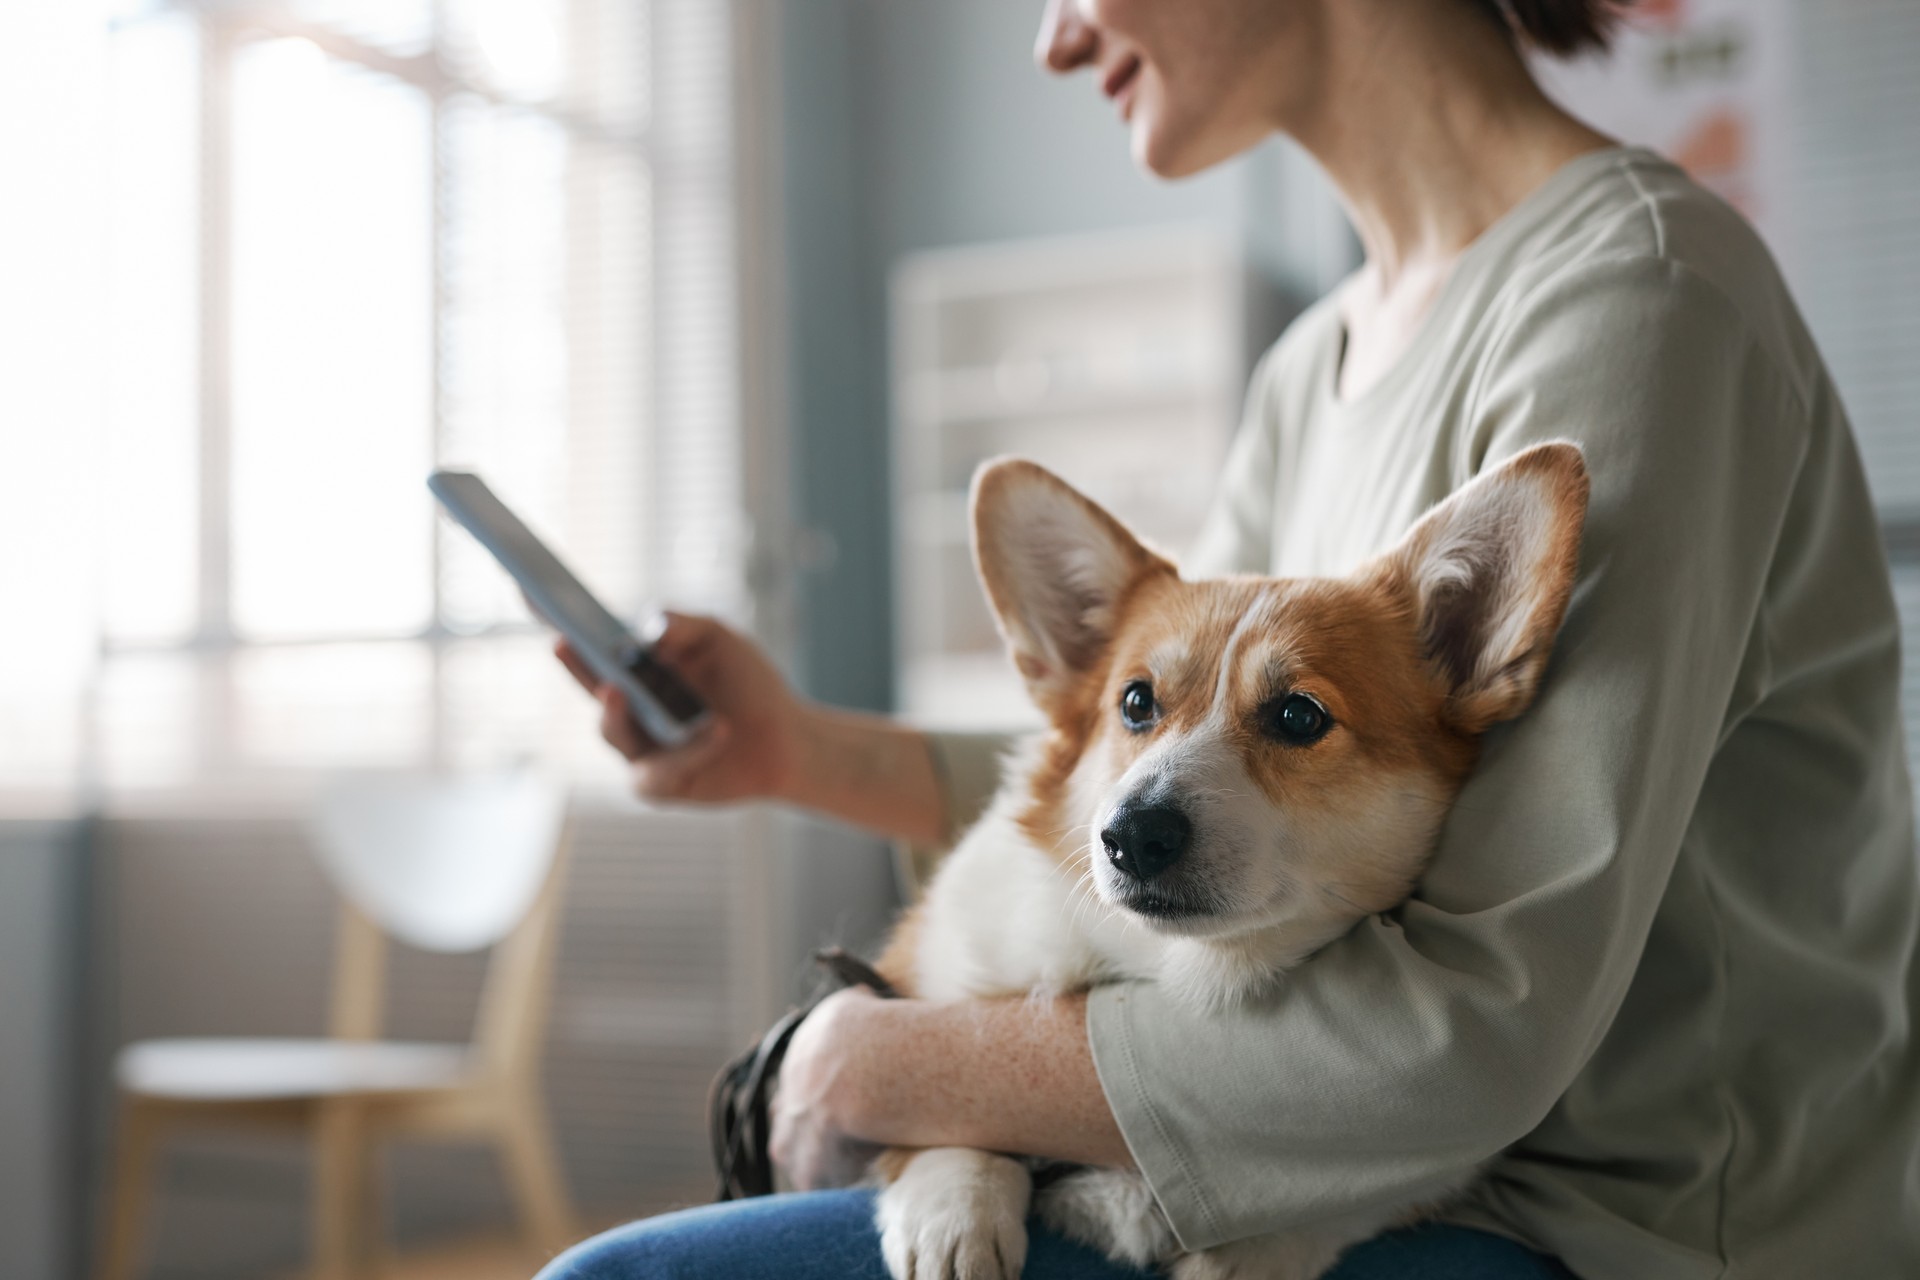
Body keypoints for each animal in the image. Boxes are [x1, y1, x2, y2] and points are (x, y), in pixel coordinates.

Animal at [864, 443, 1582, 1280]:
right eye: (1136, 703)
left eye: (1298, 716)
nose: (1130, 834)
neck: (1171, 969)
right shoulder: (919, 980)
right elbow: (943, 1109)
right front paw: (957, 1209)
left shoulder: (1439, 1169)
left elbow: (1331, 1211)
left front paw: (1243, 1254)